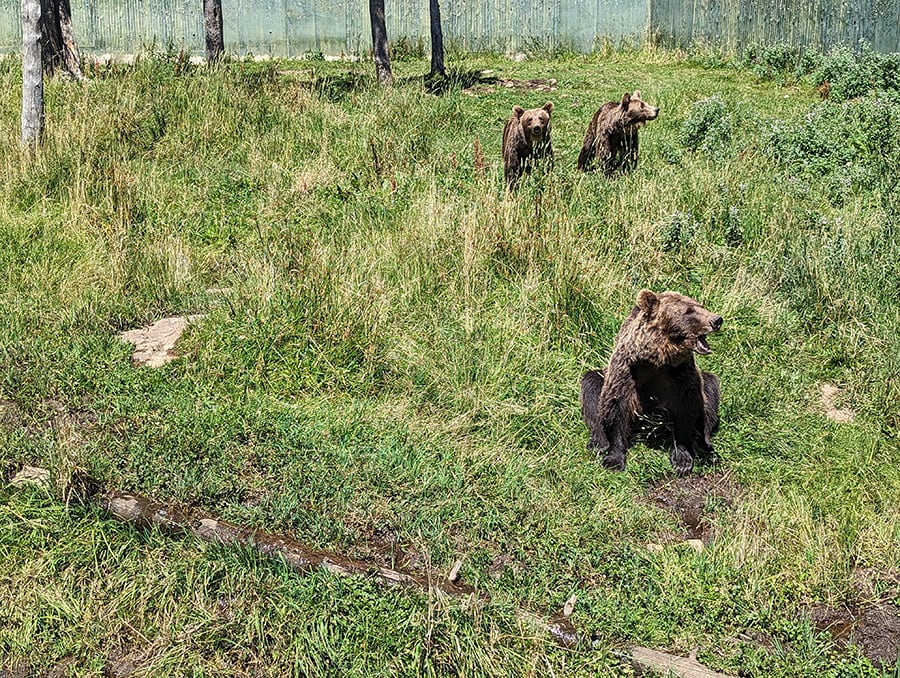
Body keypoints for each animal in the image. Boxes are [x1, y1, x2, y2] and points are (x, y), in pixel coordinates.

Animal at [580, 289, 722, 476]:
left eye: (701, 306)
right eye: (689, 311)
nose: (716, 320)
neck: (658, 358)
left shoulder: (681, 372)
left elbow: (687, 407)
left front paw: (682, 459)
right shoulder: (627, 369)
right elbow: (617, 404)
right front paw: (614, 459)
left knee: (710, 392)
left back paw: (705, 442)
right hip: (601, 379)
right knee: (591, 388)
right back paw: (599, 442)